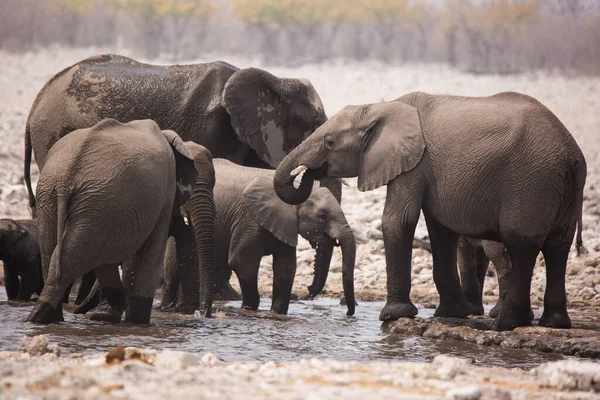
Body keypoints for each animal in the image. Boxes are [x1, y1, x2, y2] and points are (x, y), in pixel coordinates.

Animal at [26, 117, 199, 324]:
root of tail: (67, 177)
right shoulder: (165, 192)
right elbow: (150, 254)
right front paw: (136, 323)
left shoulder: (112, 214)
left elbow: (106, 256)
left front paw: (109, 314)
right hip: (94, 200)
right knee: (68, 259)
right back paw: (40, 318)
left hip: (59, 196)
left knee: (52, 253)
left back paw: (47, 319)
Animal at [166, 158, 356, 318]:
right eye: (322, 216)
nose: (348, 313)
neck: (293, 188)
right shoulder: (249, 219)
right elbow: (243, 262)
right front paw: (249, 310)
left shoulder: (284, 224)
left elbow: (286, 268)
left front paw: (277, 313)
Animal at [274, 91, 588, 332]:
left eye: (329, 142)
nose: (306, 172)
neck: (380, 107)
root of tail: (571, 153)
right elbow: (440, 231)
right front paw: (451, 314)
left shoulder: (413, 163)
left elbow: (397, 221)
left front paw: (392, 316)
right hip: (564, 188)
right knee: (558, 246)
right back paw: (554, 323)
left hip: (531, 181)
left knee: (521, 243)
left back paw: (507, 324)